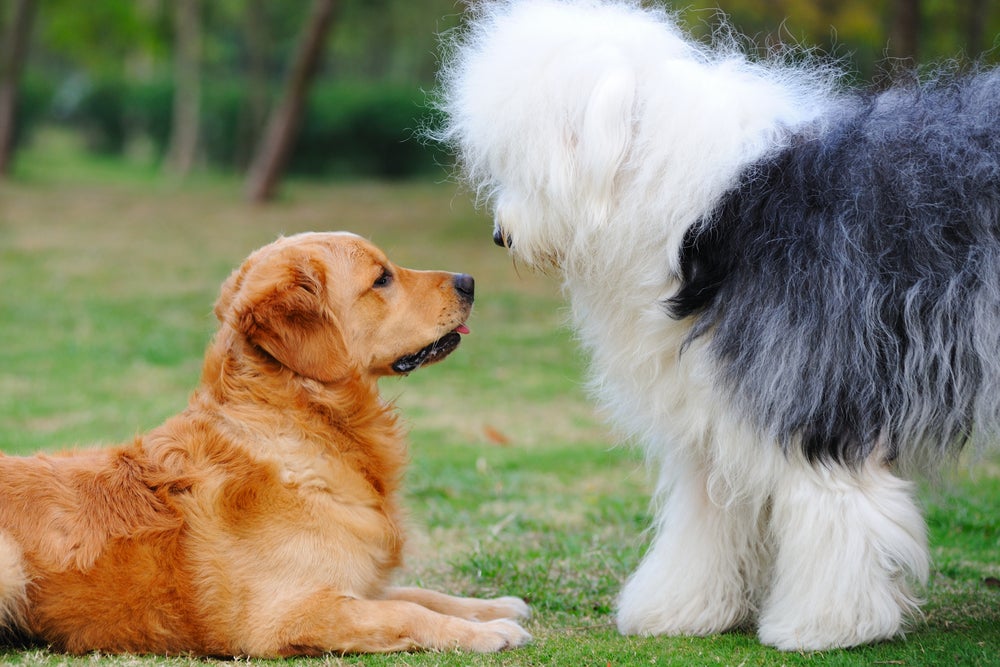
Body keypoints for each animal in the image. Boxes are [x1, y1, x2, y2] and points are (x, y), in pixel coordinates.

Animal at [0, 232, 532, 656]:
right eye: (381, 279)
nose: (469, 280)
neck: (304, 430)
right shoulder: (285, 613)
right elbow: (406, 612)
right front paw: (489, 632)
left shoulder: (351, 581)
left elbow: (418, 593)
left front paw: (492, 606)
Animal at [440, 0, 1000, 652]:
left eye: (532, 161)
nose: (501, 235)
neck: (703, 210)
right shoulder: (711, 412)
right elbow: (707, 516)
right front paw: (680, 608)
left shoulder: (807, 394)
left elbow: (837, 509)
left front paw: (827, 624)